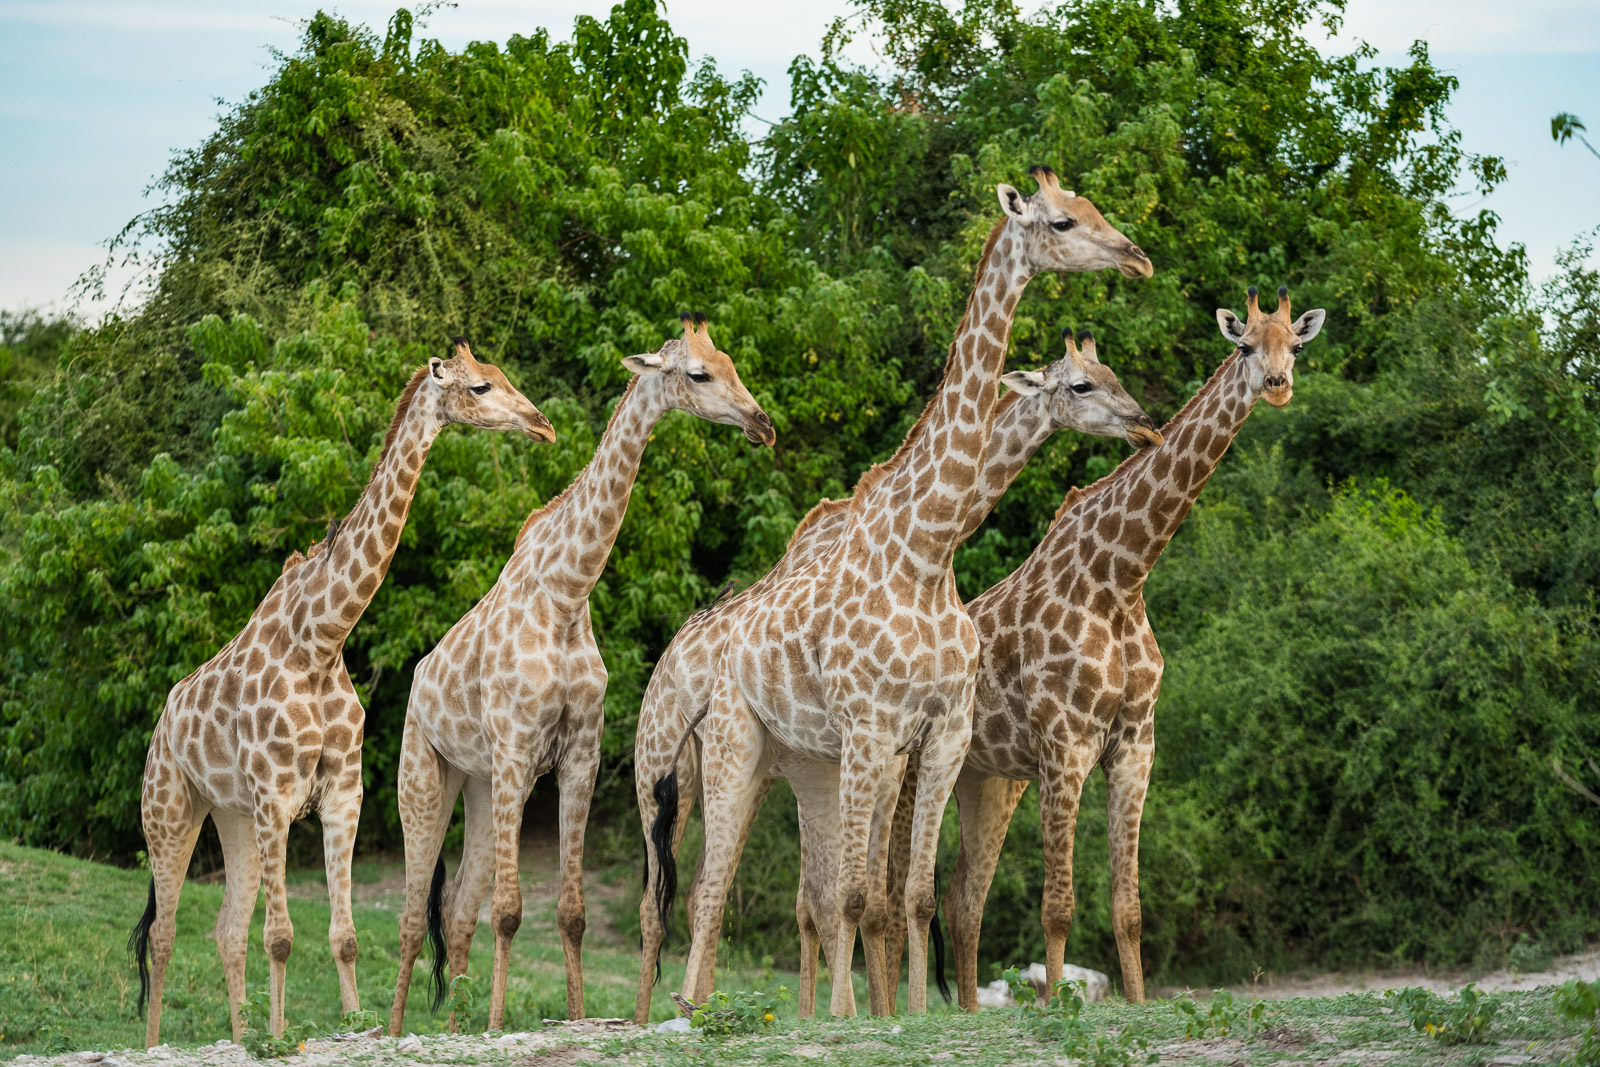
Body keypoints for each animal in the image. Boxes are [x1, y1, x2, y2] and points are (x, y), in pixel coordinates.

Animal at [129, 341, 554, 1048]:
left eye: (502, 377)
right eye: (480, 387)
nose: (541, 424)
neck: (321, 641)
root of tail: (161, 730)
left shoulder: (340, 791)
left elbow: (344, 937)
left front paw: (353, 1025)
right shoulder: (275, 792)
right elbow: (280, 938)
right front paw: (282, 1036)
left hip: (232, 816)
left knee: (225, 929)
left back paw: (239, 1036)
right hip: (171, 810)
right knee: (164, 935)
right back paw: (158, 1042)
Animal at [387, 314, 774, 1035]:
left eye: (732, 364)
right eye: (698, 373)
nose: (761, 423)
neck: (567, 592)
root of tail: (418, 681)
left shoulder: (579, 753)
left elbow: (570, 913)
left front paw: (572, 1016)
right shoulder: (517, 747)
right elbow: (512, 911)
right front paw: (496, 1027)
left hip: (479, 784)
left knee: (455, 911)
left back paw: (452, 1024)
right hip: (423, 774)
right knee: (410, 918)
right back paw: (399, 1032)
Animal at [665, 168, 1155, 1018]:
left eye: (1096, 209)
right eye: (1062, 222)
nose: (1136, 257)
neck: (927, 551)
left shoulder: (942, 733)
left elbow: (915, 896)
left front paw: (917, 1013)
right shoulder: (872, 731)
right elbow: (861, 897)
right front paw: (848, 1015)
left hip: (801, 760)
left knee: (760, 890)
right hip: (732, 746)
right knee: (712, 886)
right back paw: (694, 1008)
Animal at [920, 286, 1325, 1008]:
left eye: (1295, 347)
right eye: (1245, 346)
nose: (1278, 386)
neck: (1121, 576)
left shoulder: (1135, 745)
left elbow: (1129, 908)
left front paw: (1135, 1004)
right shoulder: (1065, 746)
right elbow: (1058, 906)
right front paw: (1055, 1007)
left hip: (986, 780)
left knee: (962, 898)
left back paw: (960, 1013)